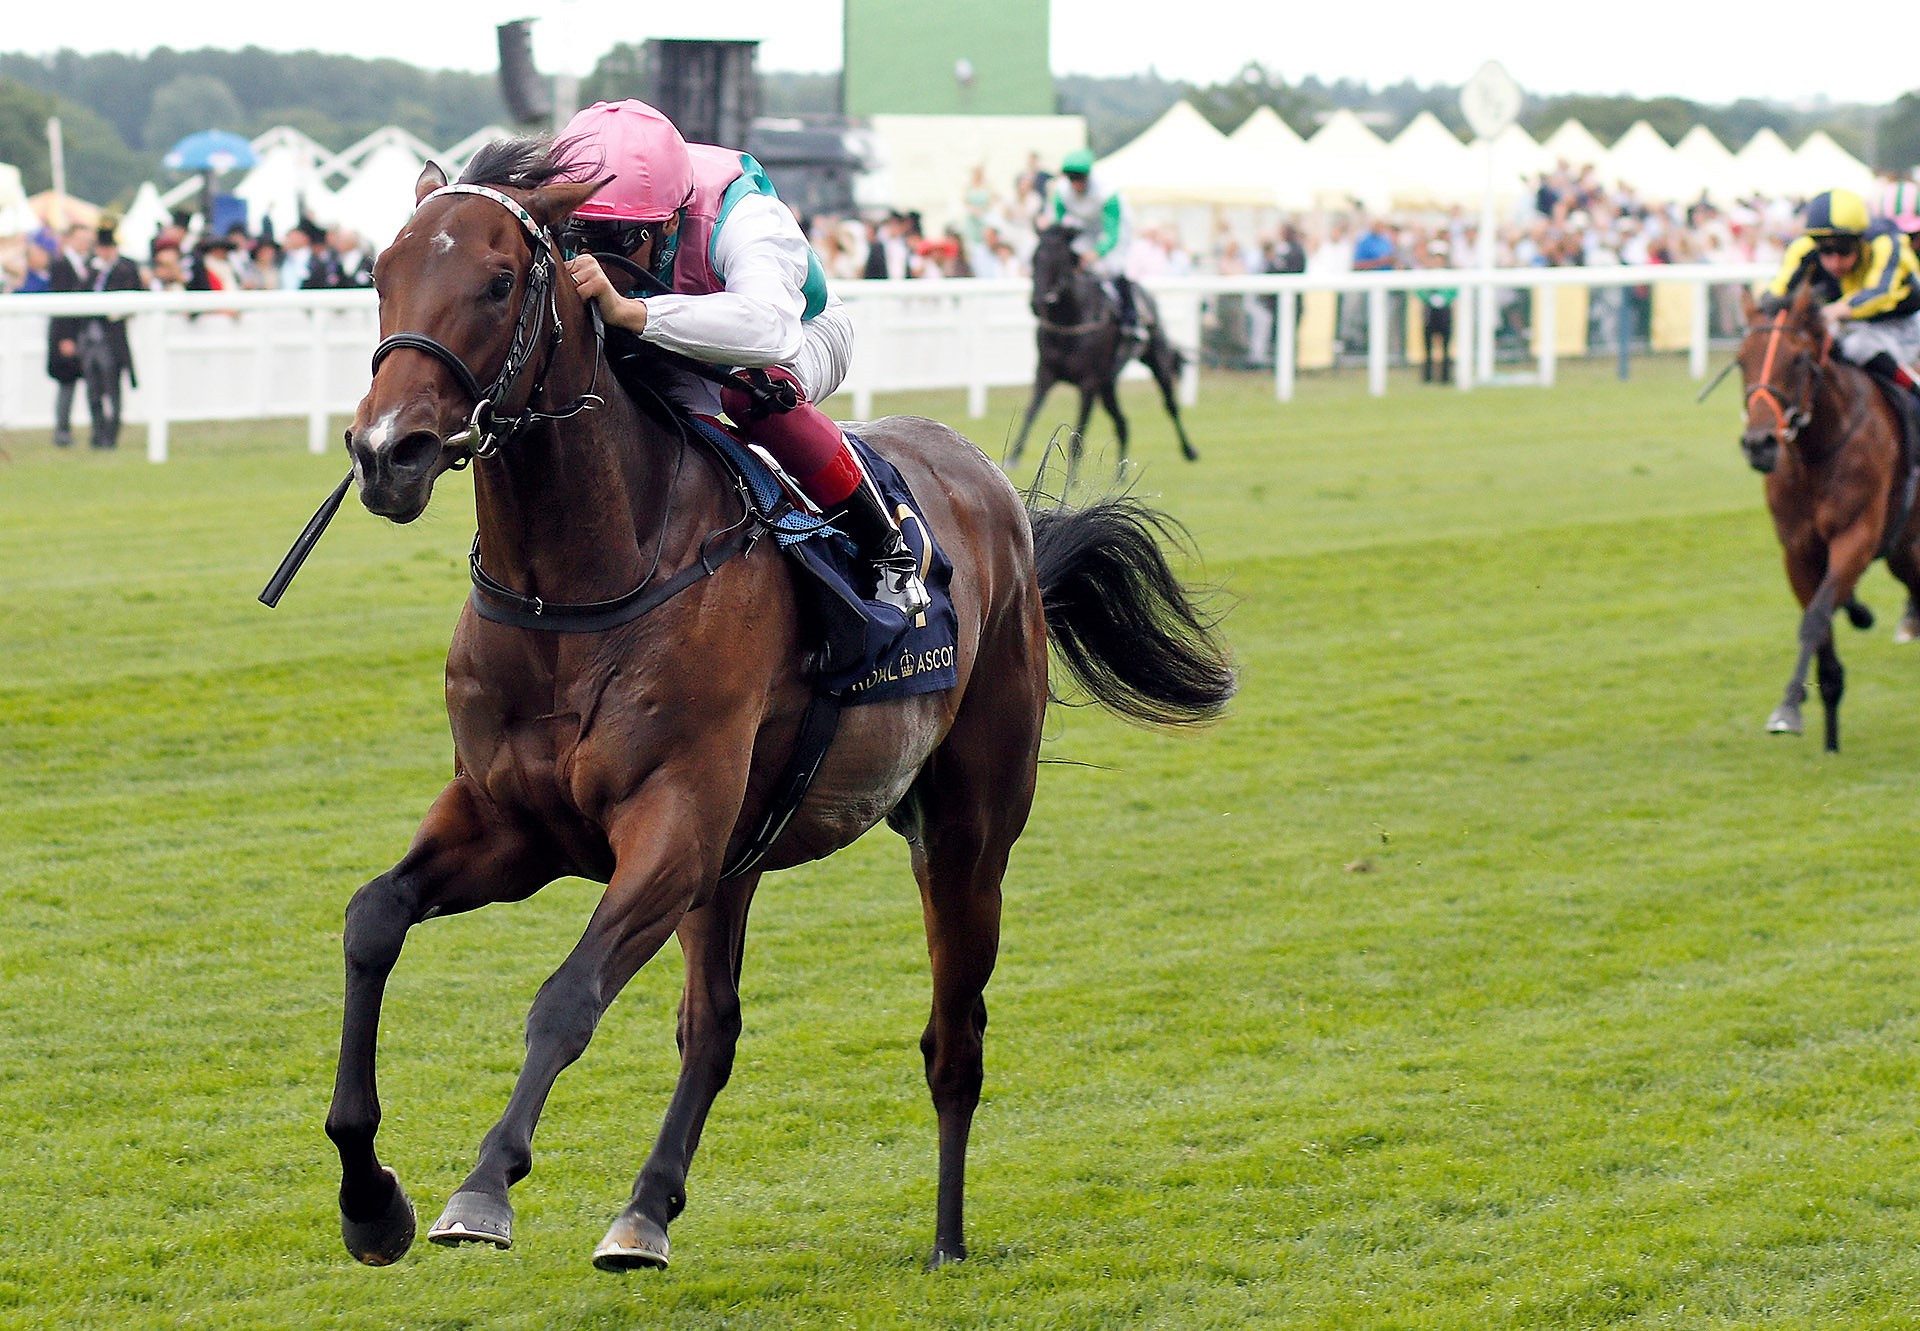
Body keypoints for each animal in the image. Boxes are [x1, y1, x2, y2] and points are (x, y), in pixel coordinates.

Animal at [1006, 227, 1198, 472]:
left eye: (1060, 261)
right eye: (1034, 259)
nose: (1037, 303)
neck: (1070, 321)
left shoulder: (1088, 382)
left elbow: (1077, 440)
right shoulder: (1045, 373)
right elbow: (1030, 413)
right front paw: (1013, 457)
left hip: (1156, 360)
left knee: (1170, 405)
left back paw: (1189, 450)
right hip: (1107, 384)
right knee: (1122, 422)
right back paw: (1120, 475)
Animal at [1743, 286, 1920, 752]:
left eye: (1798, 359)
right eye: (1741, 359)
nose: (1759, 444)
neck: (1817, 452)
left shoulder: (1856, 535)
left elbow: (1817, 616)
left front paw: (1789, 707)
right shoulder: (1799, 550)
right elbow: (1818, 622)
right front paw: (1825, 727)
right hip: (1904, 547)